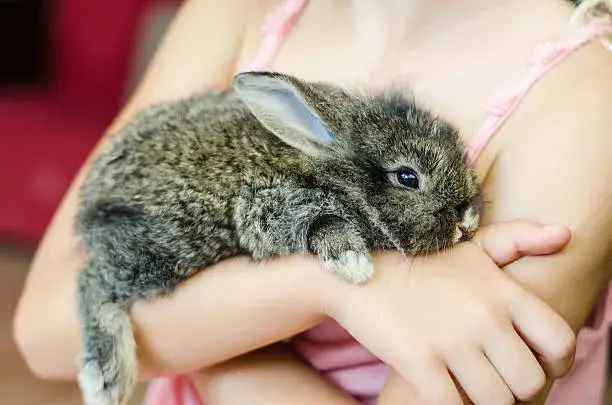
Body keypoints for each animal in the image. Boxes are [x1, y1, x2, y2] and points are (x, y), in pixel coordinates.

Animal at [74, 71, 482, 404]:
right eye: (408, 178)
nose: (468, 219)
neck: (329, 171)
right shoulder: (268, 204)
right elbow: (322, 222)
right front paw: (353, 263)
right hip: (167, 249)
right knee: (92, 281)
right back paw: (104, 381)